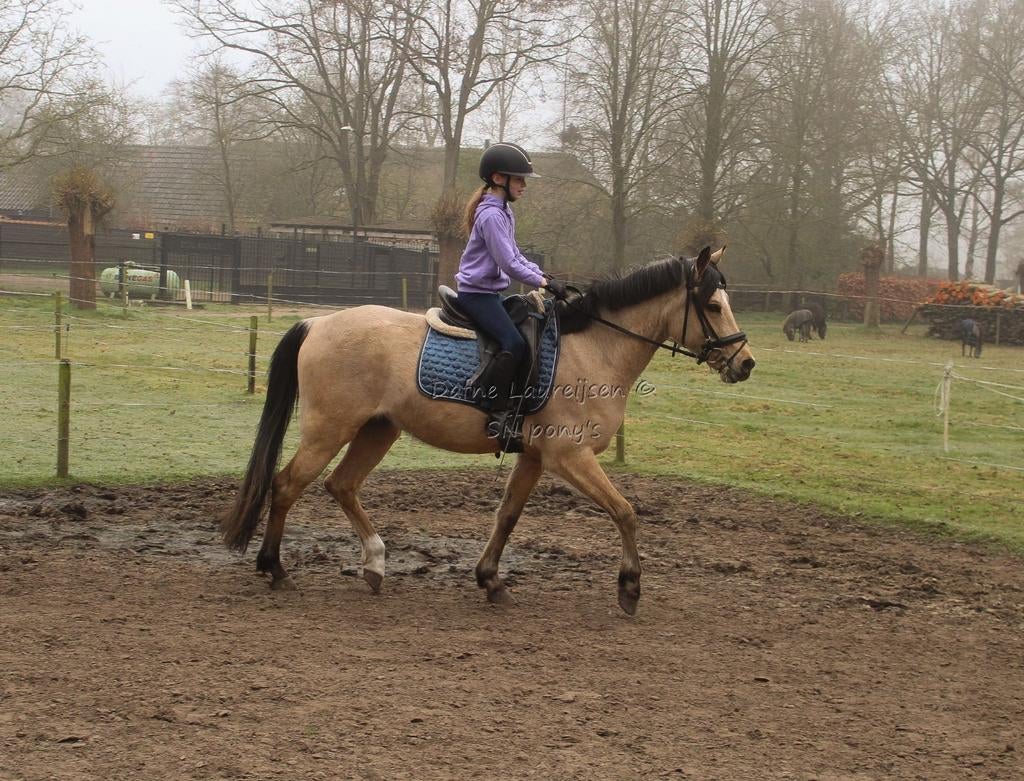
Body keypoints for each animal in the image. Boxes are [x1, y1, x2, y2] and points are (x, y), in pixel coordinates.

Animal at [222, 246, 755, 615]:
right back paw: (275, 568)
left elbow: (508, 516)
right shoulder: (569, 457)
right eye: (712, 305)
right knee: (287, 485)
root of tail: (317, 323)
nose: (745, 363)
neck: (595, 347)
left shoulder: (535, 457)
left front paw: (491, 580)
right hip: (328, 430)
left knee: (341, 485)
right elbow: (624, 512)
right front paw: (630, 587)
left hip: (377, 430)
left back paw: (373, 563)